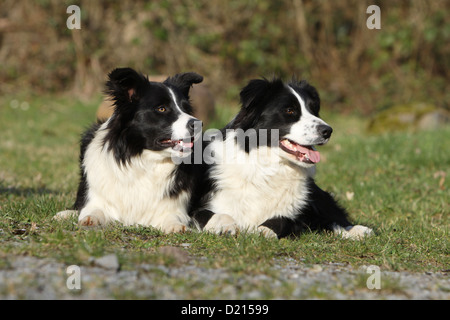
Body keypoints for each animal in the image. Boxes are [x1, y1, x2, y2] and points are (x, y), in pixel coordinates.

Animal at [55, 68, 203, 232]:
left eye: (186, 109)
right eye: (161, 108)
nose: (198, 124)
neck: (144, 159)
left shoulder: (173, 208)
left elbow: (173, 217)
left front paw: (177, 227)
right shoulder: (97, 198)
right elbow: (93, 209)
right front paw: (89, 218)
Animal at [192, 77, 374, 238]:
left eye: (313, 110)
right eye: (290, 110)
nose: (328, 131)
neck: (268, 168)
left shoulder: (296, 214)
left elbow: (283, 219)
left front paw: (264, 230)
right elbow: (211, 213)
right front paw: (224, 226)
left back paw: (358, 231)